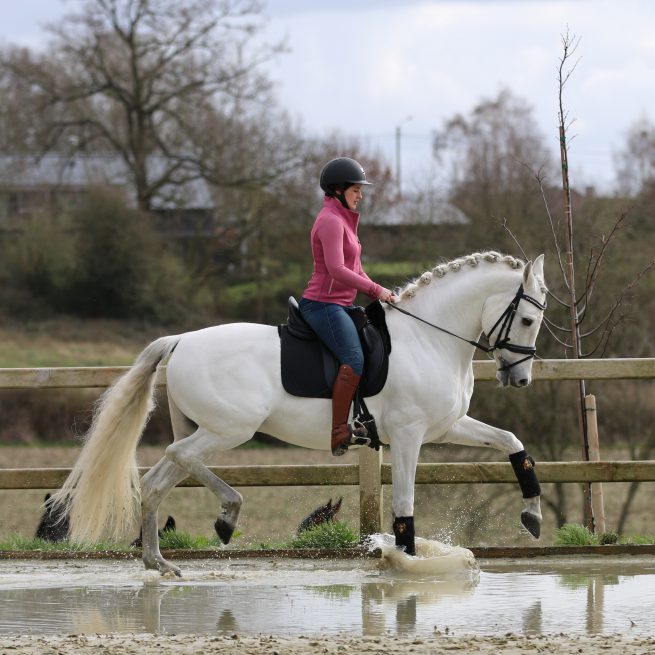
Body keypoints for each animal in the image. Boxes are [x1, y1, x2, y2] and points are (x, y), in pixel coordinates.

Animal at [53, 251, 552, 576]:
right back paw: (227, 514)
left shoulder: (446, 427)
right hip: (230, 428)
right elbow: (404, 504)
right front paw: (406, 560)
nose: (520, 379)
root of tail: (181, 340)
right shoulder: (409, 436)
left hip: (207, 428)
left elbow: (513, 443)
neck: (429, 338)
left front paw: (532, 515)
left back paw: (158, 561)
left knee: (159, 478)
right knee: (181, 457)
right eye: (528, 320)